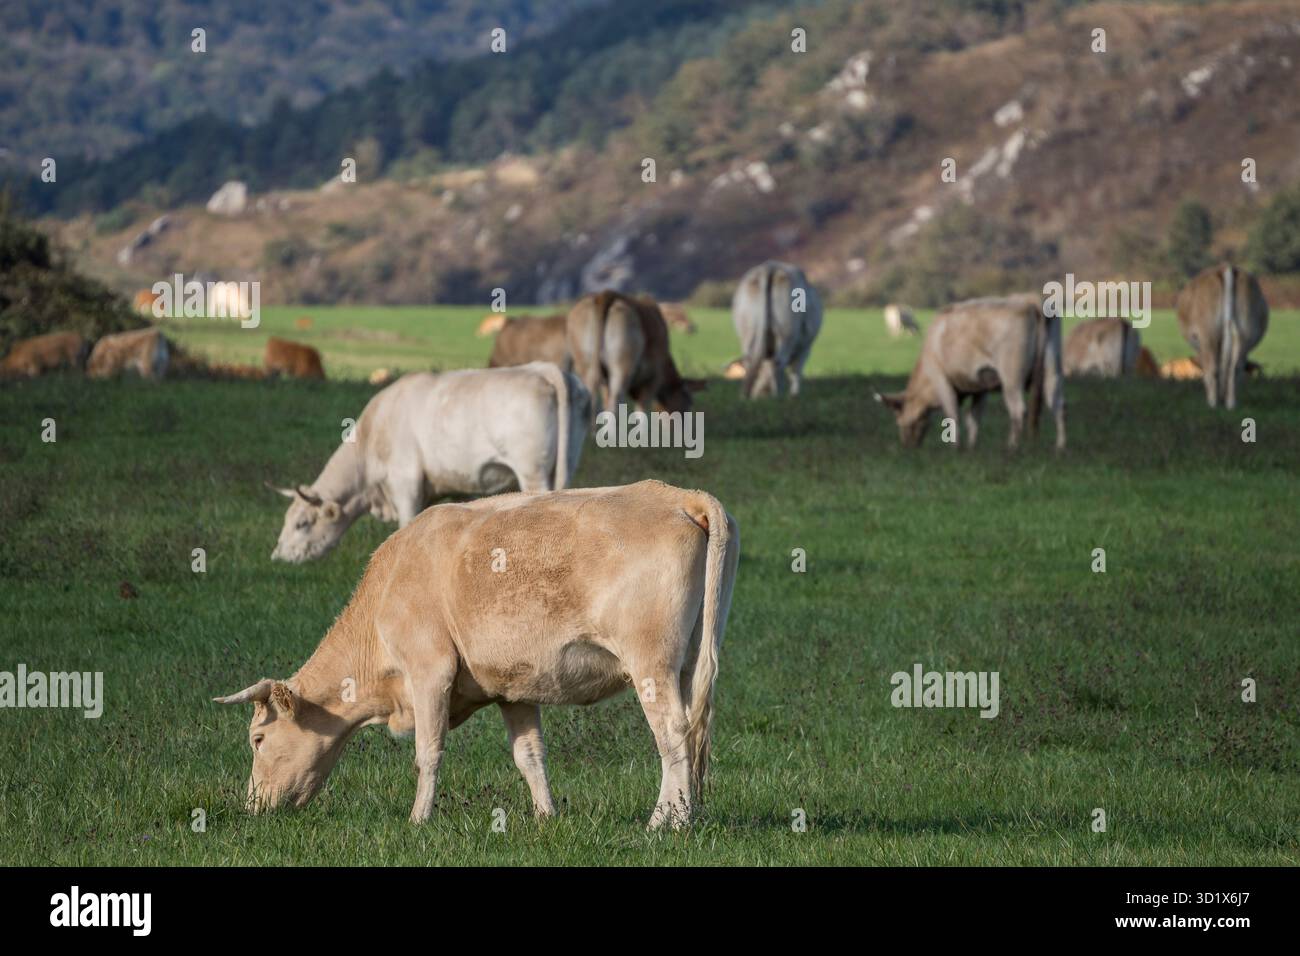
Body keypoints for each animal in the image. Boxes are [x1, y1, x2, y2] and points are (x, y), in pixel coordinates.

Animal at [217, 479, 739, 829]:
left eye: (258, 739)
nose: (252, 806)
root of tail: (678, 495)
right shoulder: (515, 688)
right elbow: (530, 755)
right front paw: (546, 817)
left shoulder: (429, 671)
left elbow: (428, 751)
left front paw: (418, 820)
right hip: (688, 662)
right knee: (690, 733)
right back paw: (686, 813)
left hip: (650, 663)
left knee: (673, 733)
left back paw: (666, 822)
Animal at [566, 291, 703, 418]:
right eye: (689, 402)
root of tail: (605, 294)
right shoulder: (653, 379)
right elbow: (641, 415)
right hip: (622, 368)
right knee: (615, 406)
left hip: (586, 365)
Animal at [732, 261, 823, 398]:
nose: (760, 394)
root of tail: (770, 267)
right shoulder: (805, 348)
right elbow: (796, 371)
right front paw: (794, 394)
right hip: (787, 334)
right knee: (779, 362)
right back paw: (778, 395)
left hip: (747, 332)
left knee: (750, 360)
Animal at [874, 294, 1066, 450]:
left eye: (899, 421)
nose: (907, 446)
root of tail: (1030, 301)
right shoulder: (980, 386)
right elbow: (973, 418)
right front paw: (972, 447)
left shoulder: (941, 379)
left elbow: (953, 415)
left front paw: (956, 449)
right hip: (1052, 370)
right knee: (1057, 403)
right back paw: (1060, 447)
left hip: (1011, 377)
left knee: (1018, 410)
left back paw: (1012, 448)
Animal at [1175, 263, 1268, 409]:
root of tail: (1226, 267)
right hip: (1245, 333)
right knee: (1235, 368)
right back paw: (1231, 404)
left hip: (1208, 334)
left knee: (1213, 369)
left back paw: (1212, 404)